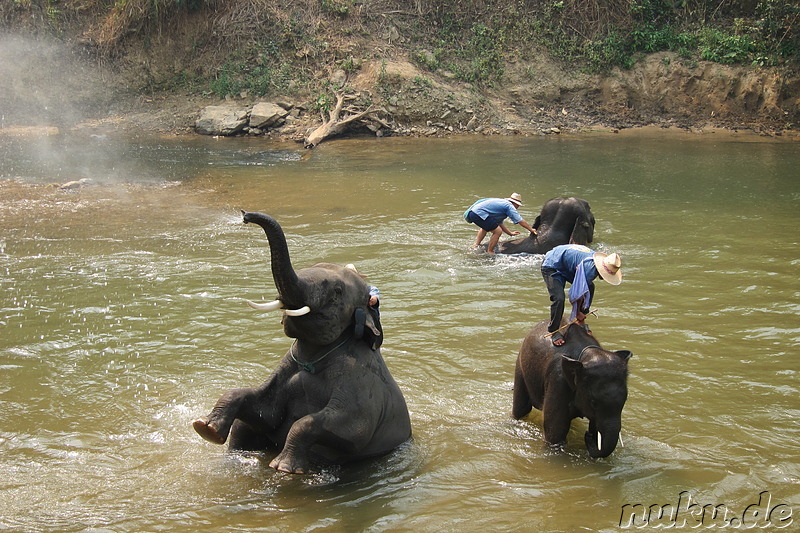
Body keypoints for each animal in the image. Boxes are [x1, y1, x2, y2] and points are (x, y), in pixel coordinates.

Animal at [191, 210, 410, 472]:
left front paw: (283, 468)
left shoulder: (361, 380)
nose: (245, 216)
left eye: (337, 291)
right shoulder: (285, 368)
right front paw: (205, 429)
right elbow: (262, 408)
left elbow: (351, 427)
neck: (313, 356)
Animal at [512, 320, 632, 458]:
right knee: (522, 409)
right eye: (593, 402)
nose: (587, 436)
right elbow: (555, 432)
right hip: (520, 366)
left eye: (625, 400)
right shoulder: (558, 380)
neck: (585, 356)